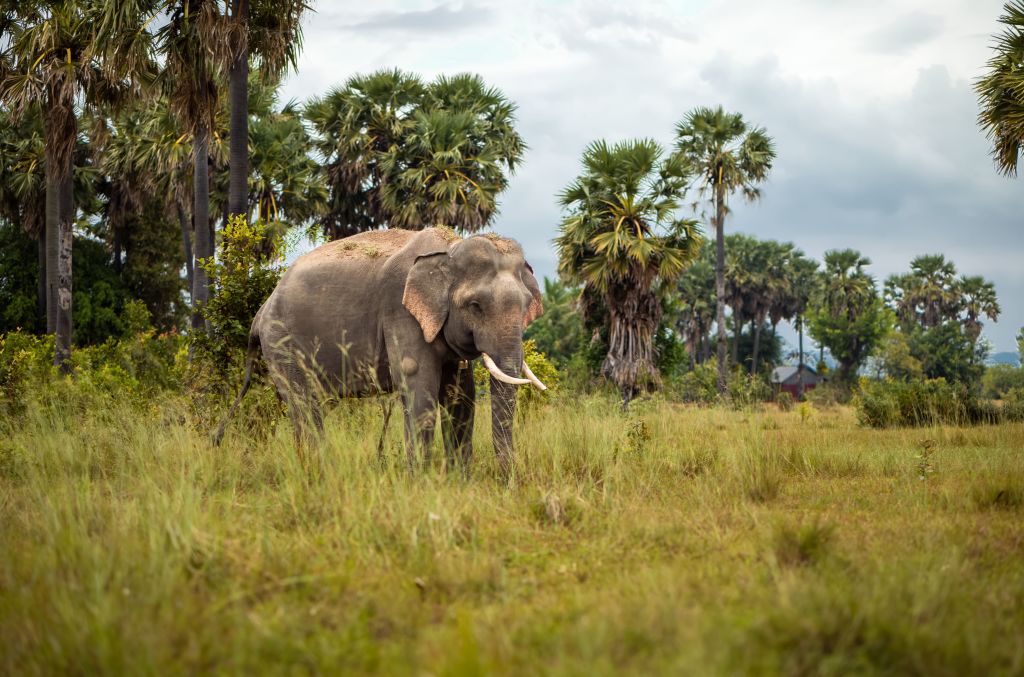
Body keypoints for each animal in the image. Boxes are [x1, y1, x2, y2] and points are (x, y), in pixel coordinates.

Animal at [215, 224, 548, 473]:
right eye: (475, 306)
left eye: (525, 305)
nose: (507, 480)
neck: (450, 248)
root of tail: (261, 310)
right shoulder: (400, 311)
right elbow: (419, 388)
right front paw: (421, 482)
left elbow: (460, 398)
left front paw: (458, 481)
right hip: (281, 344)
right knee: (305, 407)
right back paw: (316, 472)